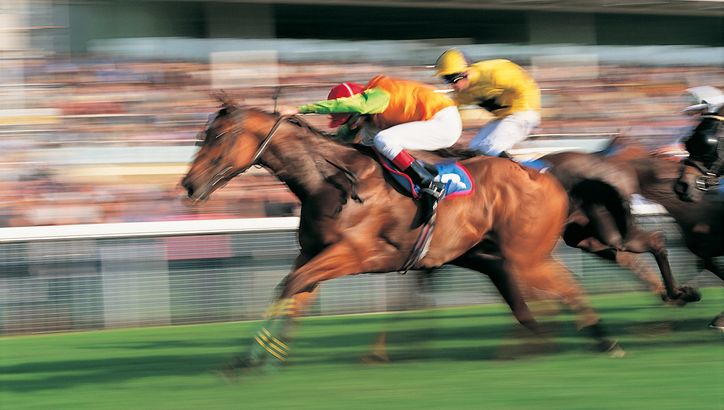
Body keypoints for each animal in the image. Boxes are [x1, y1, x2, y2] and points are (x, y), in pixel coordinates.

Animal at [181, 101, 624, 370]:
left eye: (219, 137)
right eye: (202, 136)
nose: (188, 184)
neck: (330, 180)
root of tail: (545, 174)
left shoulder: (355, 254)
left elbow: (291, 286)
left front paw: (253, 359)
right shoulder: (312, 254)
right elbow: (292, 292)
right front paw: (254, 360)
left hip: (525, 255)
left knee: (567, 285)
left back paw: (602, 340)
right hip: (491, 257)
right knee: (528, 301)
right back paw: (540, 343)